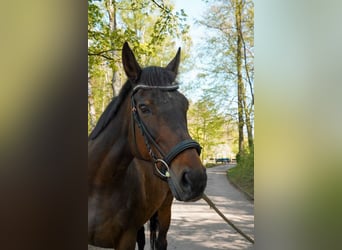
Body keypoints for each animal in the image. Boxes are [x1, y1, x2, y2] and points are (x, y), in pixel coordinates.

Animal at [88, 43, 207, 250]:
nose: (195, 178)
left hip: (165, 209)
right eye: (144, 108)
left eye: (185, 106)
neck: (99, 185)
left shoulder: (126, 240)